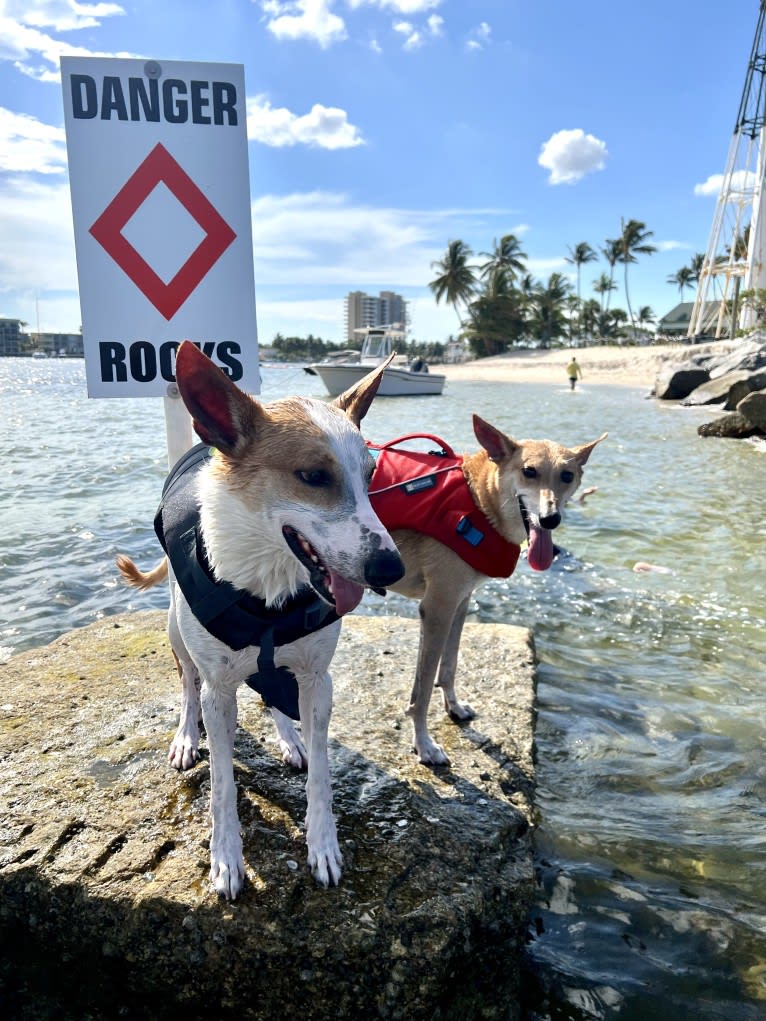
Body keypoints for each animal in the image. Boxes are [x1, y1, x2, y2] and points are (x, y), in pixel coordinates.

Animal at [117, 345, 404, 902]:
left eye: (371, 475)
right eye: (313, 476)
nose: (391, 568)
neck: (270, 588)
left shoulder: (318, 678)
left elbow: (321, 774)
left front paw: (323, 843)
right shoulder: (219, 689)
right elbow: (222, 783)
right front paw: (226, 857)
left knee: (273, 689)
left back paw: (289, 739)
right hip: (176, 632)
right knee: (187, 682)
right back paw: (186, 736)